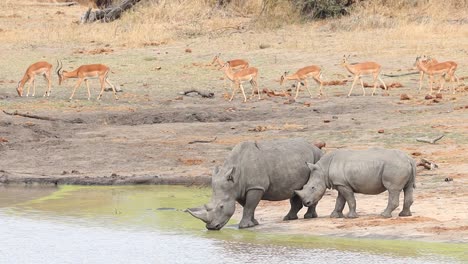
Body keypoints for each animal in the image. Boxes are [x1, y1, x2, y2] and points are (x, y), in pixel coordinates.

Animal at [186, 137, 322, 230]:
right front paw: (254, 223)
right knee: (296, 191)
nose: (211, 228)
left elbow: (249, 206)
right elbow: (247, 206)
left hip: (317, 158)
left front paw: (244, 226)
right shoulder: (240, 189)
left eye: (221, 206)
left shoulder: (256, 186)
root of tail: (315, 147)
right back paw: (288, 218)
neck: (235, 177)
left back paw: (308, 217)